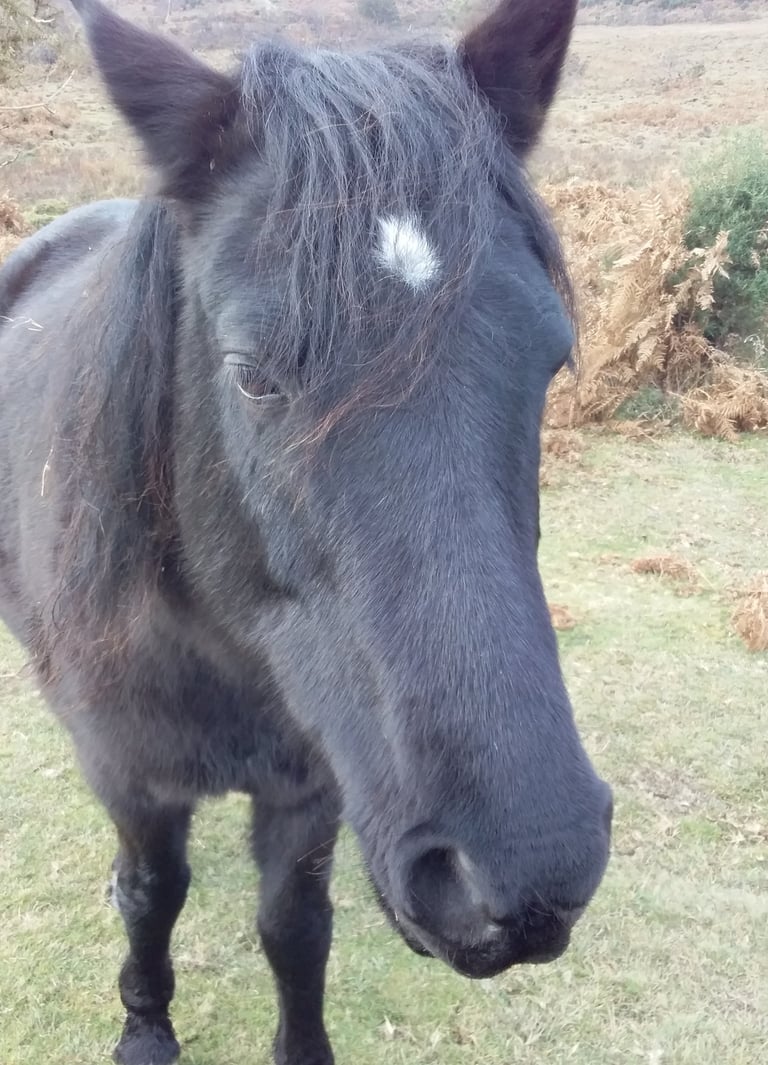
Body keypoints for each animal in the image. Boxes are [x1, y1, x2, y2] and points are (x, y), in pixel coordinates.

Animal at [0, 1, 612, 1062]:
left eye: (554, 356)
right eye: (251, 373)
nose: (524, 870)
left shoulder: (316, 784)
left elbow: (294, 927)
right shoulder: (130, 777)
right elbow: (153, 895)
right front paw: (145, 1025)